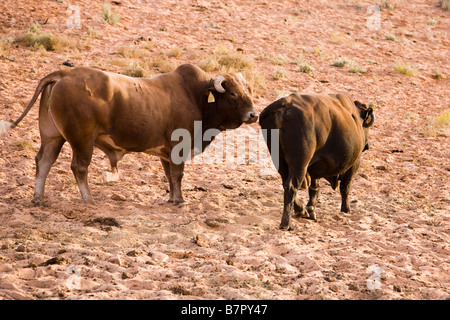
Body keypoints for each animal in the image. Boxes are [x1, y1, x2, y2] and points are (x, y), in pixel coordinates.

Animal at [0, 63, 258, 206]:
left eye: (248, 90)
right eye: (233, 94)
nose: (254, 115)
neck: (196, 97)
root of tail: (64, 74)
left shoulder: (165, 152)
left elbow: (169, 176)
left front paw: (173, 198)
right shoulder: (178, 147)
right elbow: (177, 174)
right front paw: (180, 200)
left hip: (53, 137)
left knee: (43, 162)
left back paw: (38, 198)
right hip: (83, 140)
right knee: (79, 167)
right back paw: (88, 199)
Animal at [258, 92, 374, 230]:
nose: (367, 145)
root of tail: (285, 104)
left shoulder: (315, 168)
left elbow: (314, 188)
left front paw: (311, 209)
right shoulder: (354, 164)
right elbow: (345, 187)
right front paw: (346, 209)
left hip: (281, 162)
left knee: (286, 184)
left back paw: (301, 210)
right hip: (300, 163)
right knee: (291, 186)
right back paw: (286, 223)